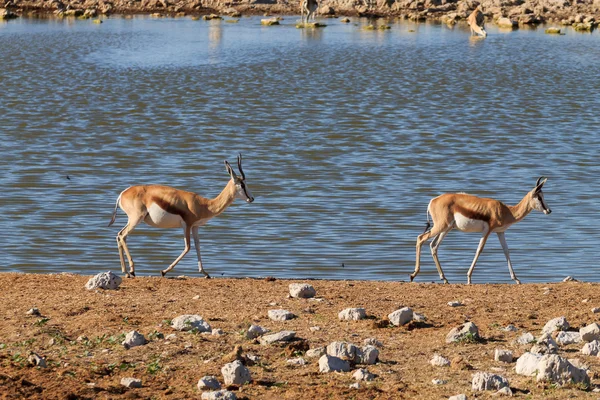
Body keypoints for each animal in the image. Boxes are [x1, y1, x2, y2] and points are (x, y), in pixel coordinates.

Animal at [108, 154, 253, 278]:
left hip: (132, 220)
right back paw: (131, 271)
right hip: (136, 218)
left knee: (119, 235)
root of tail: (123, 193)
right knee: (123, 235)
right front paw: (163, 271)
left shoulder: (195, 227)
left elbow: (198, 245)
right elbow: (187, 247)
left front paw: (205, 273)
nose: (251, 198)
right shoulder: (187, 225)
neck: (203, 204)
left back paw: (125, 271)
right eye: (242, 184)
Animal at [412, 177, 552, 284]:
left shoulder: (500, 232)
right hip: (441, 227)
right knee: (420, 238)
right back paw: (413, 275)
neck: (506, 211)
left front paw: (516, 279)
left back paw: (444, 278)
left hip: (446, 228)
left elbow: (506, 251)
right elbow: (479, 250)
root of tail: (433, 201)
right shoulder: (487, 231)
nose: (549, 210)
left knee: (433, 245)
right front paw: (469, 278)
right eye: (539, 197)